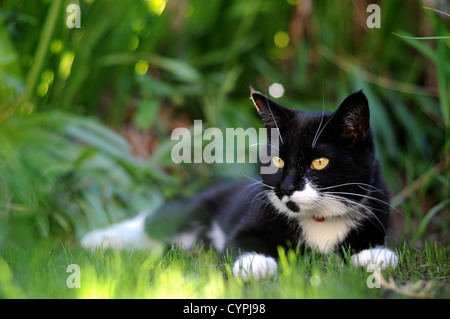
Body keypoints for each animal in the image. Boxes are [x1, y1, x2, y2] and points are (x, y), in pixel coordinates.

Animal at [81, 87, 398, 280]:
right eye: (277, 161)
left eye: (319, 162)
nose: (285, 188)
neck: (318, 221)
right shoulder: (254, 215)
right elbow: (241, 240)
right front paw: (255, 263)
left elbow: (376, 249)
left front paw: (375, 255)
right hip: (198, 206)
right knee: (152, 222)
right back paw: (96, 240)